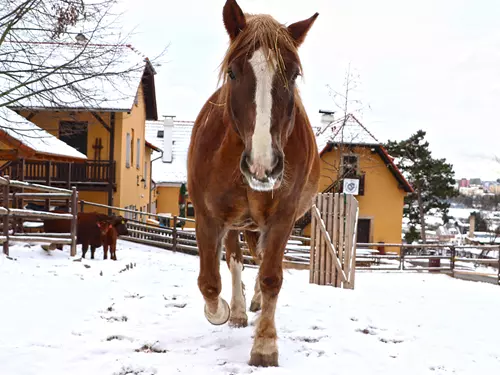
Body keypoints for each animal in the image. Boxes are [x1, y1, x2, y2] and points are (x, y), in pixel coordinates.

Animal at [188, 0, 320, 368]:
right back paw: (236, 309)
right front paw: (222, 311)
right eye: (233, 72)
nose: (264, 165)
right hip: (235, 224)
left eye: (293, 74)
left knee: (261, 262)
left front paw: (265, 345)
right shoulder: (207, 217)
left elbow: (272, 275)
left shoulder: (282, 217)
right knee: (234, 261)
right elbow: (209, 282)